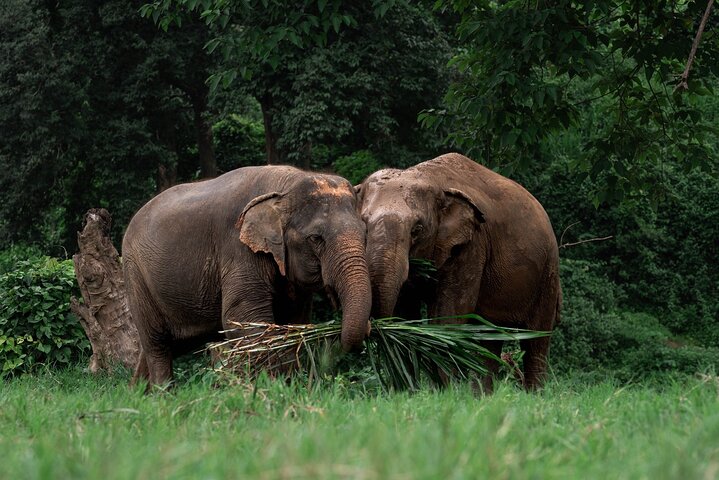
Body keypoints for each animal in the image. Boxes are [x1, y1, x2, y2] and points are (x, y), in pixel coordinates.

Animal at [122, 165, 372, 387]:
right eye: (315, 238)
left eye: (365, 233)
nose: (371, 328)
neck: (284, 185)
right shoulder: (238, 250)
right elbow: (243, 318)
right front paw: (270, 387)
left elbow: (293, 323)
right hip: (136, 275)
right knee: (158, 345)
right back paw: (163, 394)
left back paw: (138, 393)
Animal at [357, 153, 561, 391]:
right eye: (364, 224)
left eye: (417, 229)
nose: (372, 328)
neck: (430, 178)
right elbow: (405, 312)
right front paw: (408, 392)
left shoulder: (471, 245)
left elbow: (448, 316)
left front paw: (445, 393)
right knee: (489, 339)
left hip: (547, 273)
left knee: (536, 341)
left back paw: (534, 394)